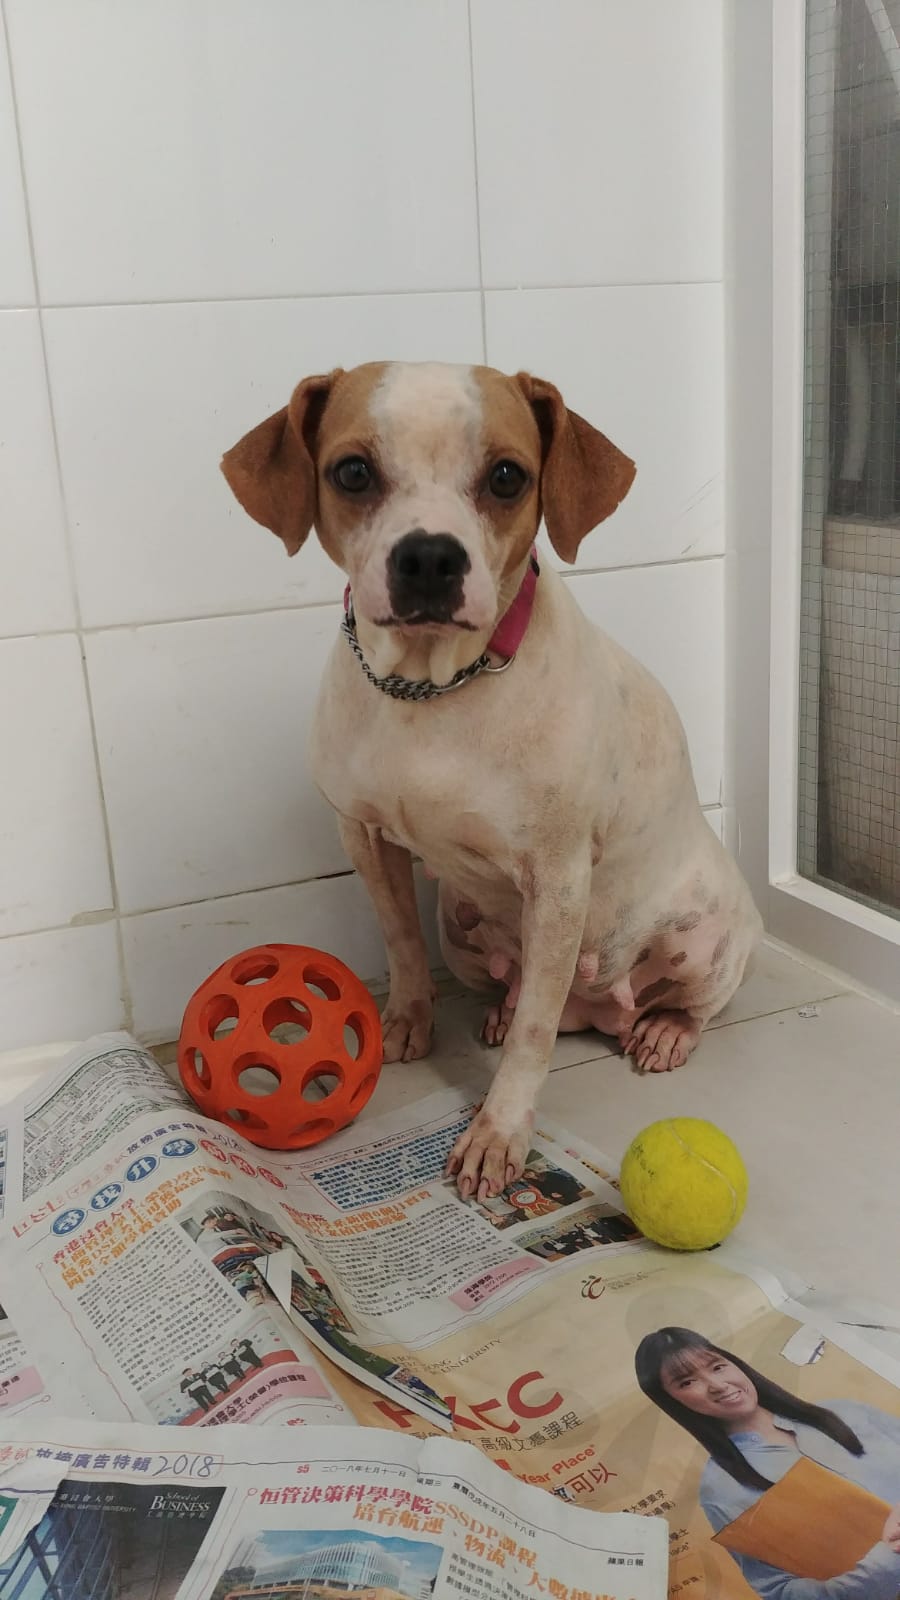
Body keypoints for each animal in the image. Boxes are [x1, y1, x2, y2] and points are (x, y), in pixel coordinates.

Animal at [222, 361, 762, 1203]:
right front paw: (405, 1021)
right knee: (526, 994)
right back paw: (504, 1011)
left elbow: (535, 1042)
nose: (429, 559)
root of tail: (600, 1014)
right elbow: (401, 941)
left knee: (662, 1005)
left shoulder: (559, 877)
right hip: (462, 924)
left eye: (508, 476)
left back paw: (664, 1031)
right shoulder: (365, 835)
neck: (432, 691)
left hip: (706, 936)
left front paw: (499, 1133)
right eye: (352, 472)